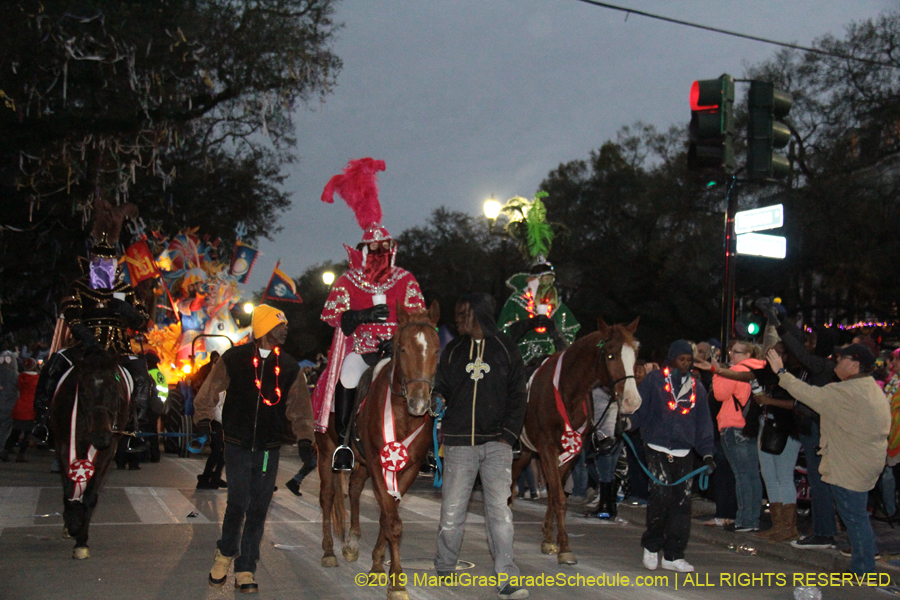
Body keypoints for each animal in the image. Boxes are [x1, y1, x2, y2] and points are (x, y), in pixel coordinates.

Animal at [49, 344, 130, 560]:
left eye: (113, 392)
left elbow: (91, 495)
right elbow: (69, 487)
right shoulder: (64, 444)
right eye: (83, 393)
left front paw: (81, 542)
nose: (100, 436)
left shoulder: (107, 451)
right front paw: (73, 522)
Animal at [316, 300, 440, 600]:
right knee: (327, 497)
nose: (419, 403)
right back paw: (329, 551)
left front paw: (376, 565)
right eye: (402, 348)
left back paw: (352, 542)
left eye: (436, 349)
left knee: (355, 489)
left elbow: (387, 516)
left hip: (360, 462)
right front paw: (397, 583)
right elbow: (391, 520)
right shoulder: (376, 461)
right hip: (326, 450)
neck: (403, 414)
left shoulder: (408, 467)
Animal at [512, 316, 640, 564]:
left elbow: (556, 495)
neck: (566, 392)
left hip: (525, 451)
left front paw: (551, 540)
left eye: (635, 355)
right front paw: (563, 547)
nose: (632, 401)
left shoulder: (571, 451)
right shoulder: (548, 448)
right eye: (610, 355)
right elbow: (559, 497)